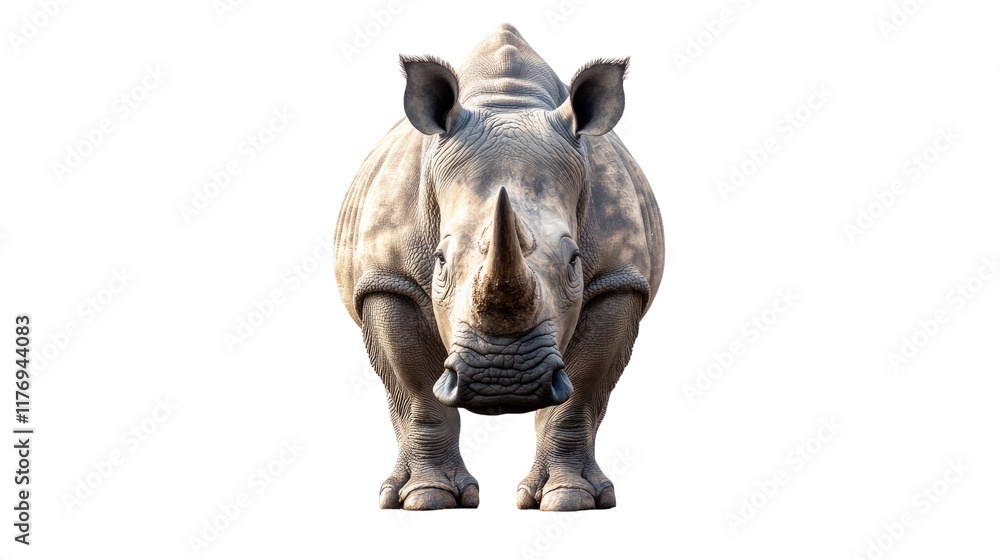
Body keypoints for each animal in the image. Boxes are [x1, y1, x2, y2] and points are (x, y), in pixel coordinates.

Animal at [335, 23, 664, 511]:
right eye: (439, 263)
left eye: (574, 263)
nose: (504, 380)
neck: (506, 102)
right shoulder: (387, 278)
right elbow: (417, 390)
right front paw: (428, 499)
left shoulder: (618, 278)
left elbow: (581, 392)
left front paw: (568, 498)